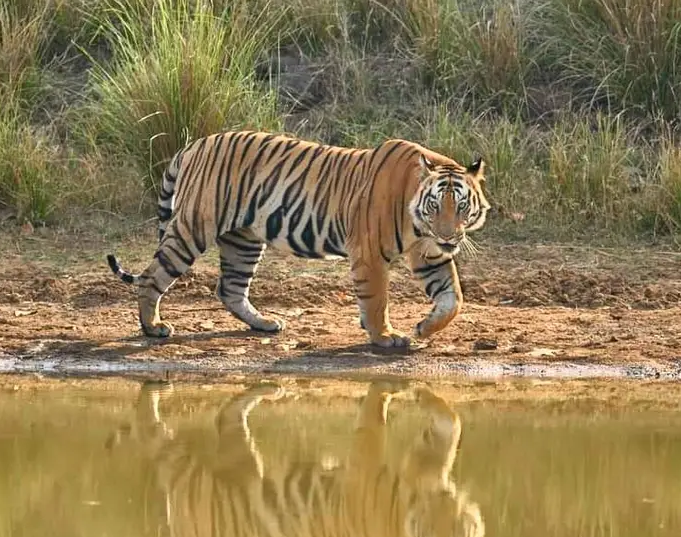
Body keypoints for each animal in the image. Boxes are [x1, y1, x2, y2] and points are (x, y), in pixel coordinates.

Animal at [106, 130, 490, 347]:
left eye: (461, 206)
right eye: (435, 205)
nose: (448, 235)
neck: (420, 225)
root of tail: (195, 145)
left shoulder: (430, 255)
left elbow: (453, 298)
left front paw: (425, 328)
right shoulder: (369, 253)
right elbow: (377, 299)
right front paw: (385, 337)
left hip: (243, 239)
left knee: (230, 288)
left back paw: (264, 323)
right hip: (193, 228)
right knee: (152, 277)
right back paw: (153, 327)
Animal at [106, 379, 485, 537]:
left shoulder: (428, 470)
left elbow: (452, 423)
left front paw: (422, 394)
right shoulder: (365, 470)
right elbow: (372, 422)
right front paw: (407, 390)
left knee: (225, 418)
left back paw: (268, 389)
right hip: (218, 478)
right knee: (175, 433)